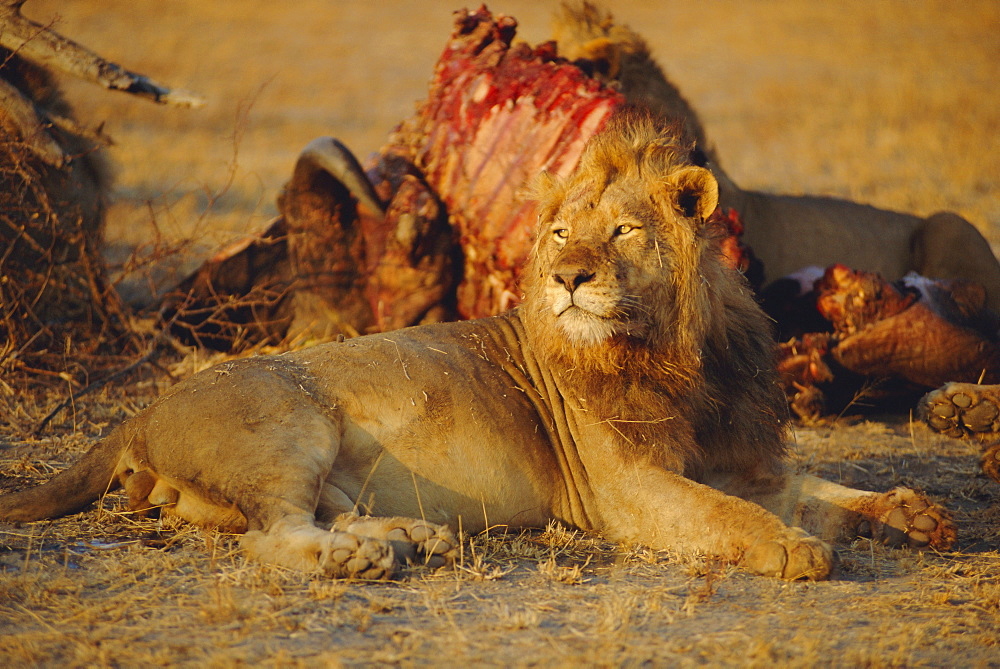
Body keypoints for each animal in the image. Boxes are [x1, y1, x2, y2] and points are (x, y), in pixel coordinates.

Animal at [0, 113, 956, 576]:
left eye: (621, 231)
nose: (569, 276)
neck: (682, 355)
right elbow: (737, 515)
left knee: (310, 513)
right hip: (288, 421)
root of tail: (137, 414)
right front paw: (795, 550)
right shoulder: (625, 489)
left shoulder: (741, 459)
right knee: (270, 533)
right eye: (562, 232)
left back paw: (407, 537)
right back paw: (359, 559)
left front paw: (911, 512)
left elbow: (815, 488)